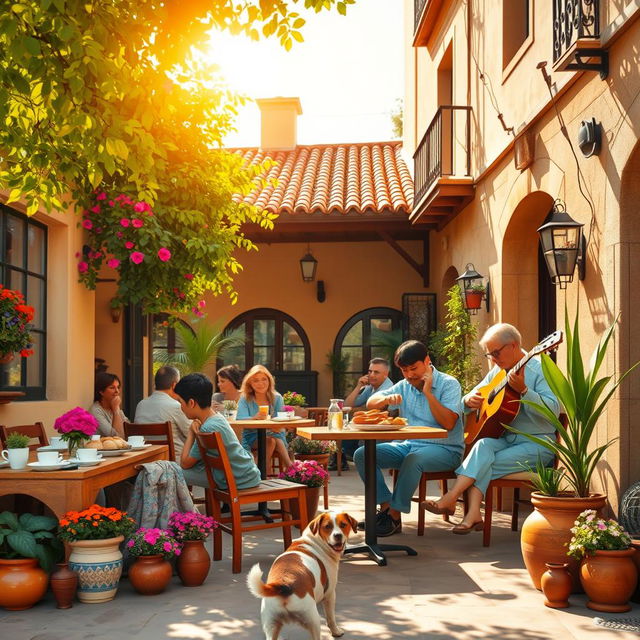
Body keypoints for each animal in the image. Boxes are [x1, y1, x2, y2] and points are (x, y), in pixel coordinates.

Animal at [246, 510, 358, 640]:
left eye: (343, 525)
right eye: (327, 526)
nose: (338, 535)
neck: (315, 542)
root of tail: (283, 585)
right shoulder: (330, 594)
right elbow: (331, 618)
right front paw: (336, 632)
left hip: (271, 625)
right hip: (313, 620)